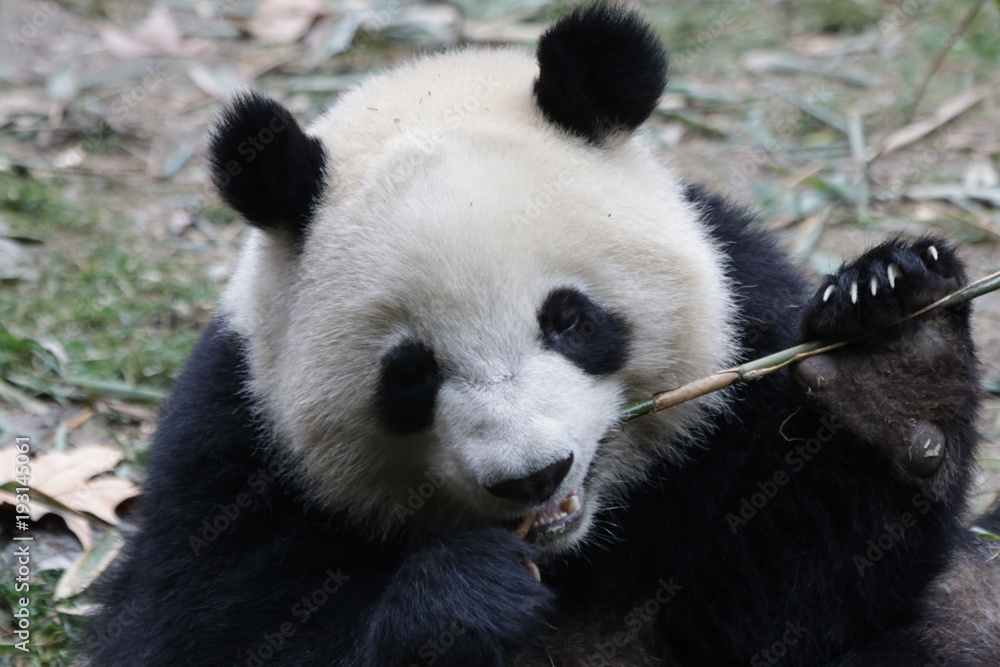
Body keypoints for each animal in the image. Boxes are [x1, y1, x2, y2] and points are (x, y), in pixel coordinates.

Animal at [88, 4, 999, 666]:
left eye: (570, 320)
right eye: (410, 374)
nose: (533, 475)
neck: (574, 548)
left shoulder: (747, 334)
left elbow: (801, 598)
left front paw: (892, 363)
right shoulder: (233, 443)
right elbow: (197, 630)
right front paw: (462, 600)